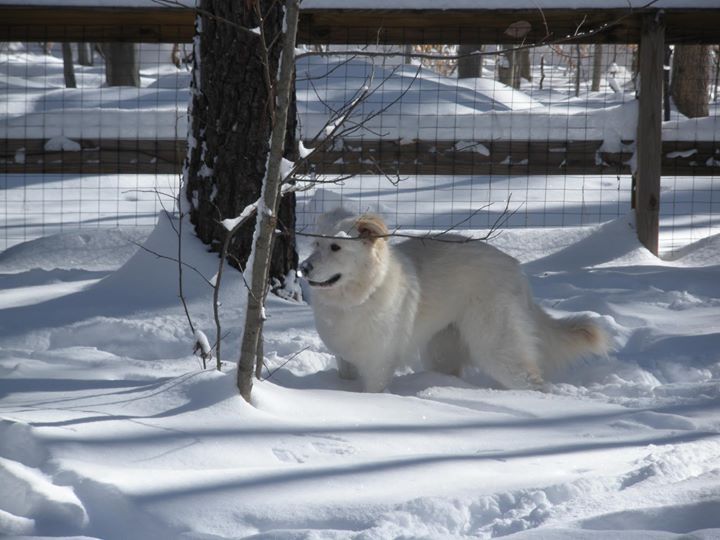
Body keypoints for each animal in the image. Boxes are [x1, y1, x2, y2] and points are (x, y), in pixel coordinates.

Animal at [298, 210, 608, 392]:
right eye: (316, 244)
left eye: (336, 247)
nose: (303, 268)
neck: (362, 294)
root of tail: (515, 268)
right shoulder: (346, 359)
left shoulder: (378, 366)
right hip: (442, 350)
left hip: (497, 347)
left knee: (532, 381)